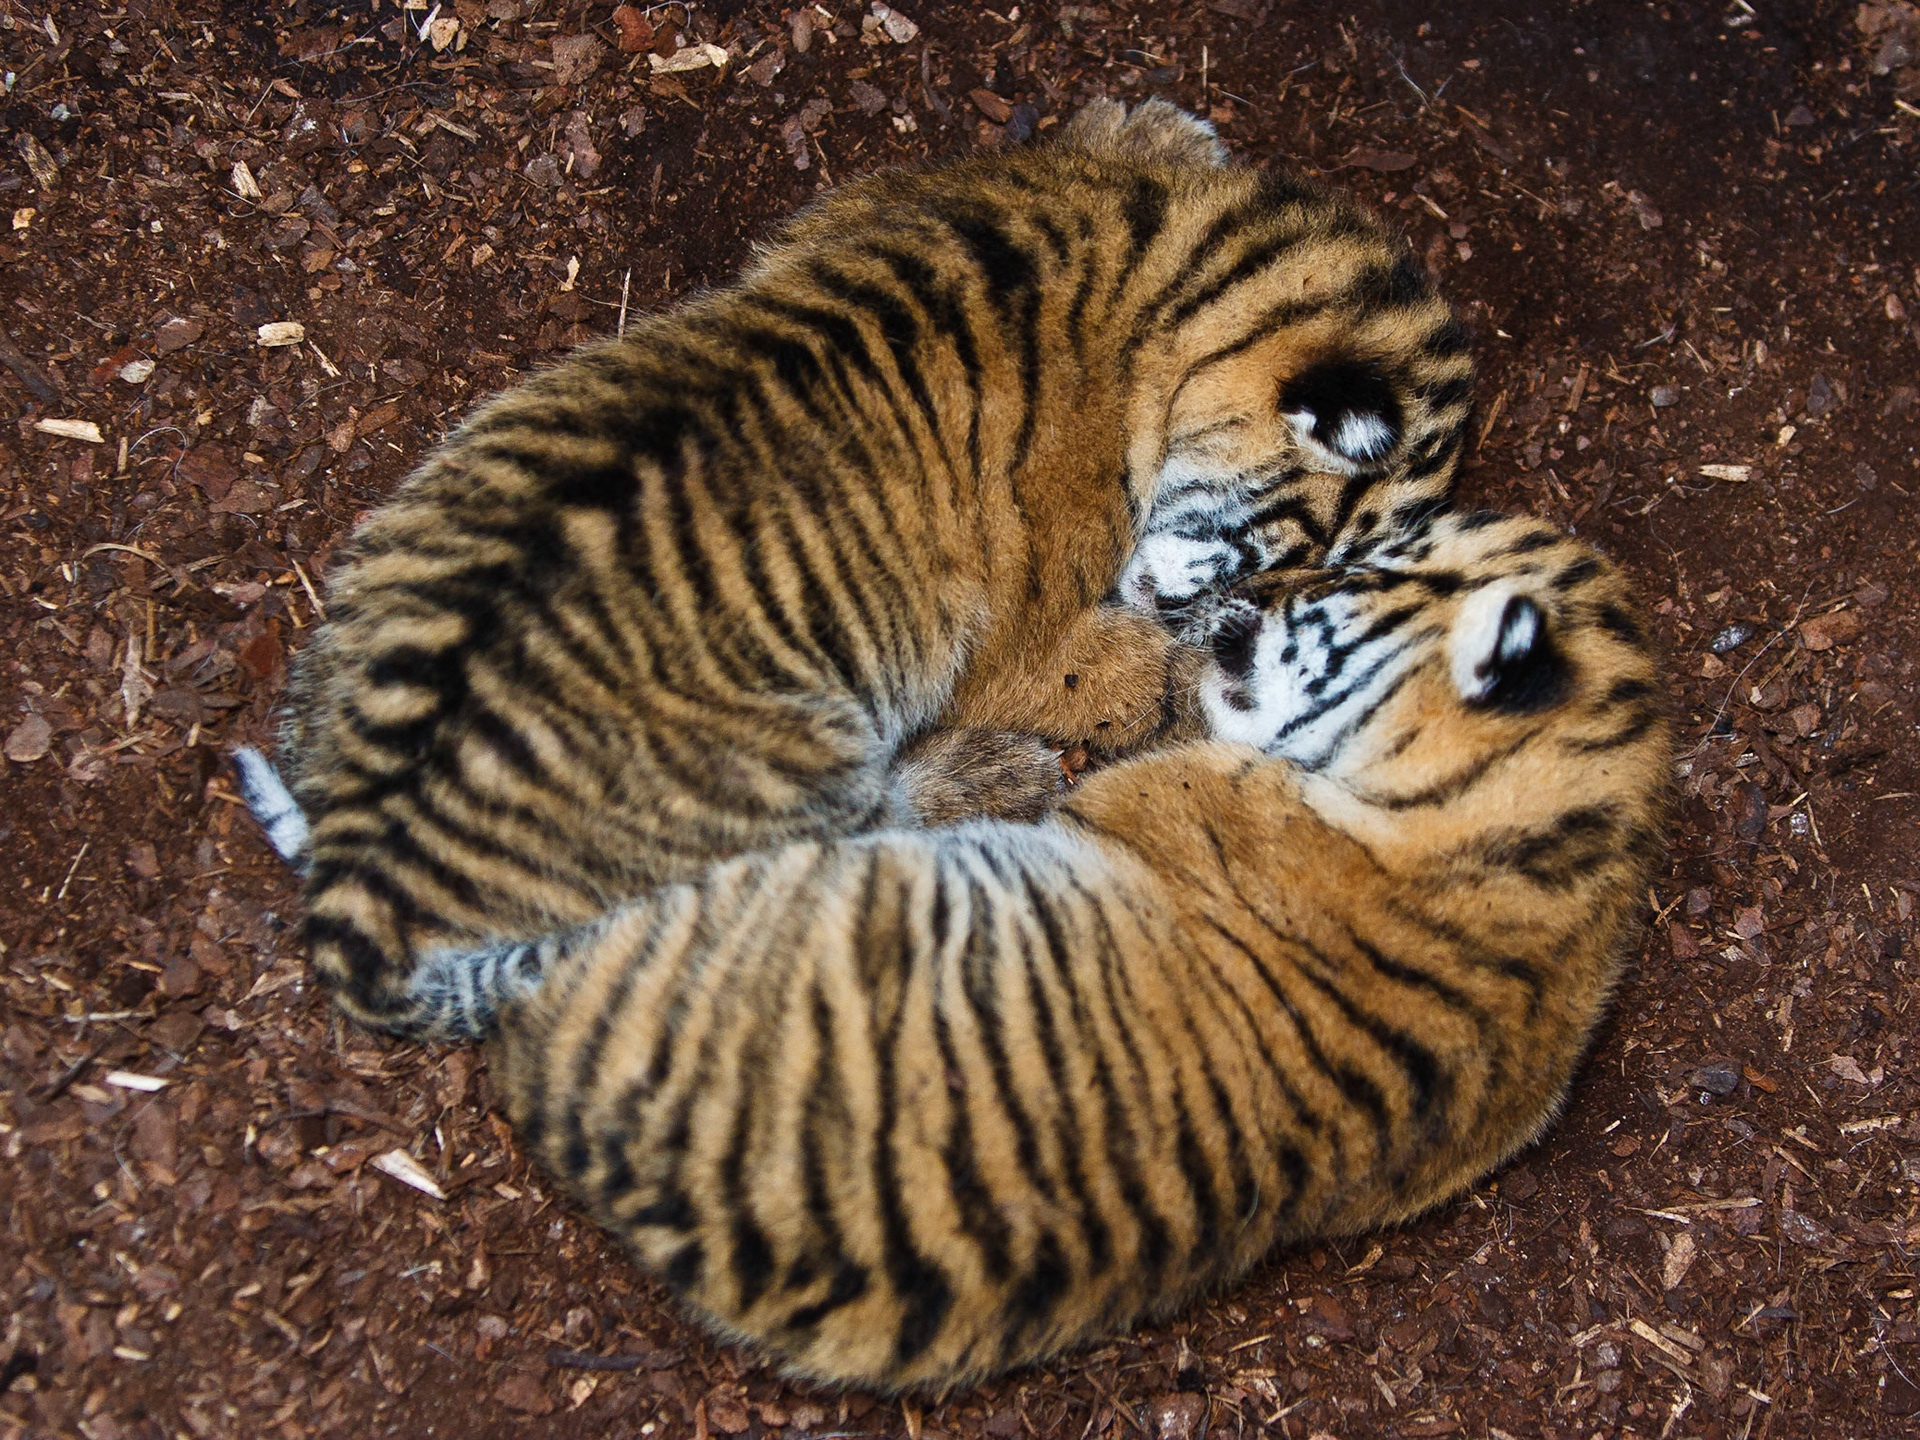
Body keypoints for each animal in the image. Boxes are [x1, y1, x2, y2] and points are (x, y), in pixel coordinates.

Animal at [234, 97, 1474, 1039]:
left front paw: (1160, 124)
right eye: (1300, 552)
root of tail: (370, 877)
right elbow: (1120, 675)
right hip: (802, 761)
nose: (1221, 614)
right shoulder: (1025, 623)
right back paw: (998, 776)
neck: (1169, 258)